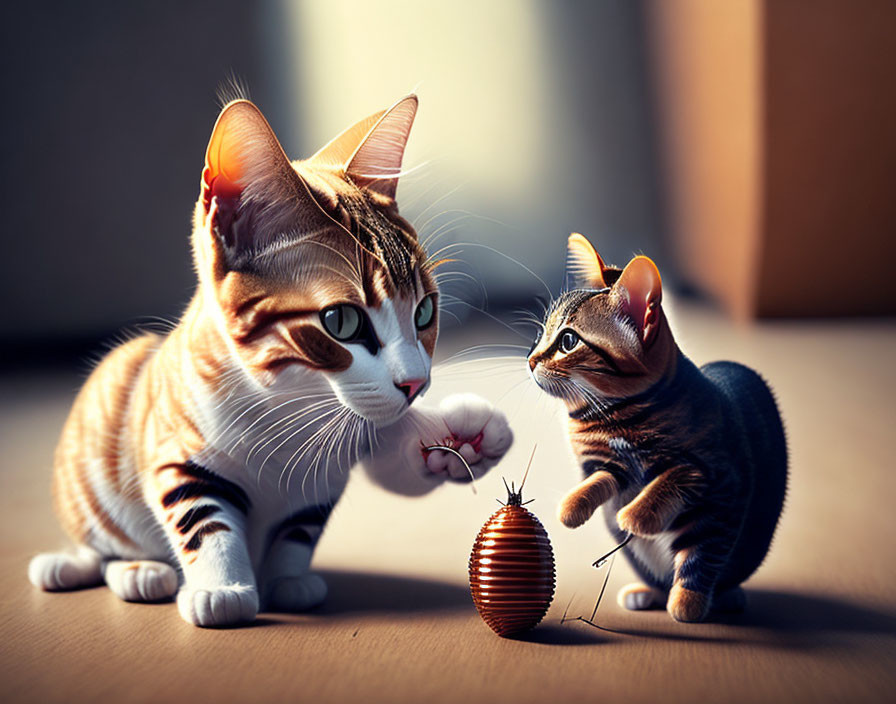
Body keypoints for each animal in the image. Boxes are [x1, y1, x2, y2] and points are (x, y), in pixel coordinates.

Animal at [28, 93, 512, 628]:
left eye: (424, 310)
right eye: (341, 321)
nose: (416, 384)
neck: (289, 400)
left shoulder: (341, 451)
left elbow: (329, 508)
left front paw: (462, 433)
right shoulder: (176, 447)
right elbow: (202, 517)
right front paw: (222, 588)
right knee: (101, 544)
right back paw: (121, 570)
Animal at [528, 235, 788, 620]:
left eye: (568, 341)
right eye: (540, 334)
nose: (530, 360)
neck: (615, 418)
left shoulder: (720, 482)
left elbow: (682, 486)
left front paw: (641, 520)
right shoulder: (610, 464)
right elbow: (601, 480)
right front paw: (573, 505)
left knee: (708, 564)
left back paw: (716, 598)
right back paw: (646, 592)